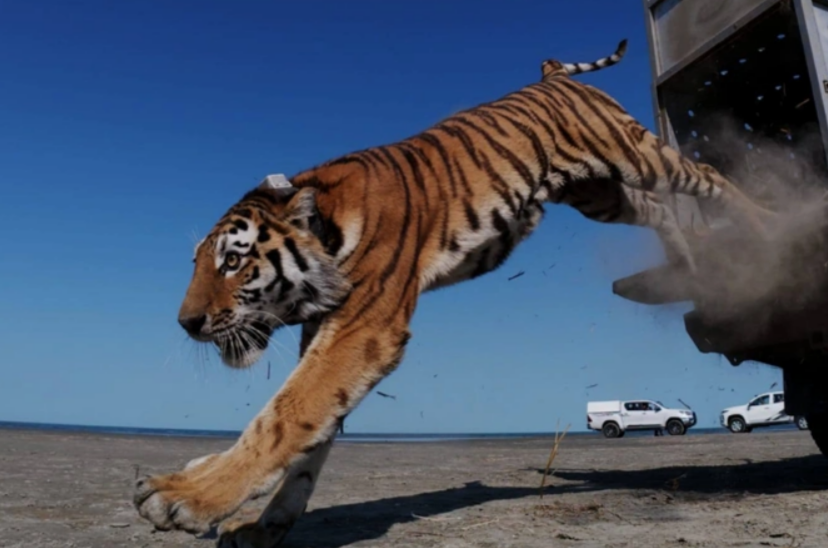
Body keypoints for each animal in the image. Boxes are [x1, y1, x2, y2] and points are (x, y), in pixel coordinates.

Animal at [134, 39, 775, 546]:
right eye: (198, 263)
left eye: (233, 262)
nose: (186, 323)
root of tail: (553, 77)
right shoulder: (328, 333)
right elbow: (313, 436)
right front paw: (264, 526)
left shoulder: (363, 329)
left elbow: (283, 415)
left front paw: (184, 494)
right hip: (599, 193)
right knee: (658, 209)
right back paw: (689, 259)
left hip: (634, 153)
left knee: (706, 178)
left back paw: (769, 224)